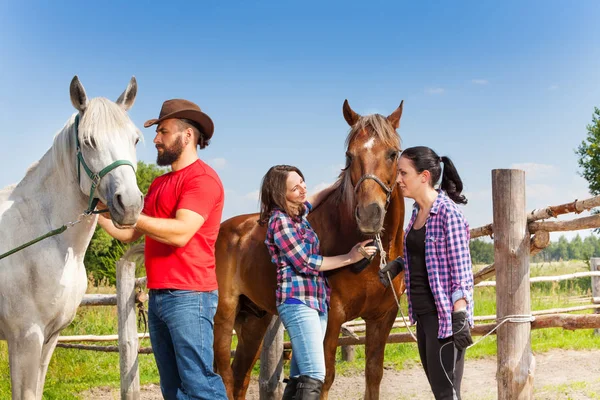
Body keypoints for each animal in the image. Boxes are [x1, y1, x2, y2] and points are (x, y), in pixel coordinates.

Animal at [213, 100, 406, 400]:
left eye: (393, 154)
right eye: (349, 156)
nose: (369, 215)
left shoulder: (382, 318)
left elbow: (373, 376)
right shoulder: (333, 316)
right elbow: (325, 377)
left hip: (254, 320)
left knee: (239, 377)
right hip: (225, 314)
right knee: (223, 373)